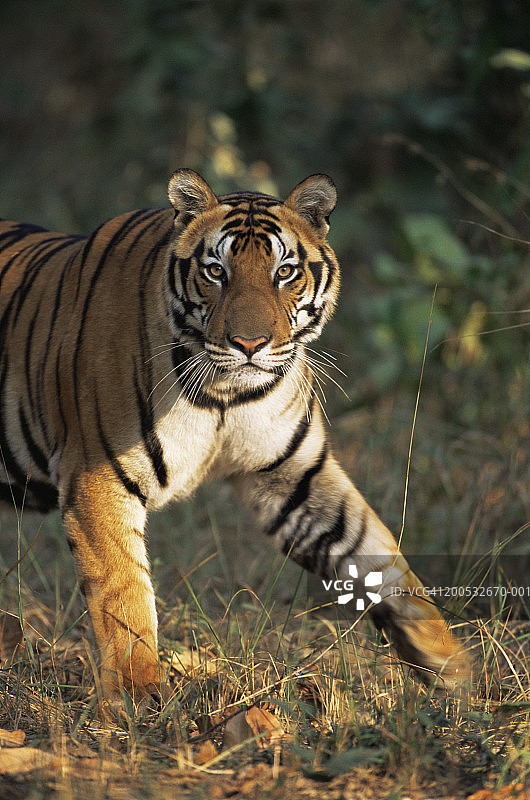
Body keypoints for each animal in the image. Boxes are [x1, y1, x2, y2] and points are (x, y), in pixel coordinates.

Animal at [0, 169, 467, 701]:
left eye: (284, 271)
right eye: (216, 271)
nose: (249, 344)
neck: (225, 395)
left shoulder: (293, 474)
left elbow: (376, 555)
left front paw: (456, 668)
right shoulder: (97, 478)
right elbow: (125, 596)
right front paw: (141, 698)